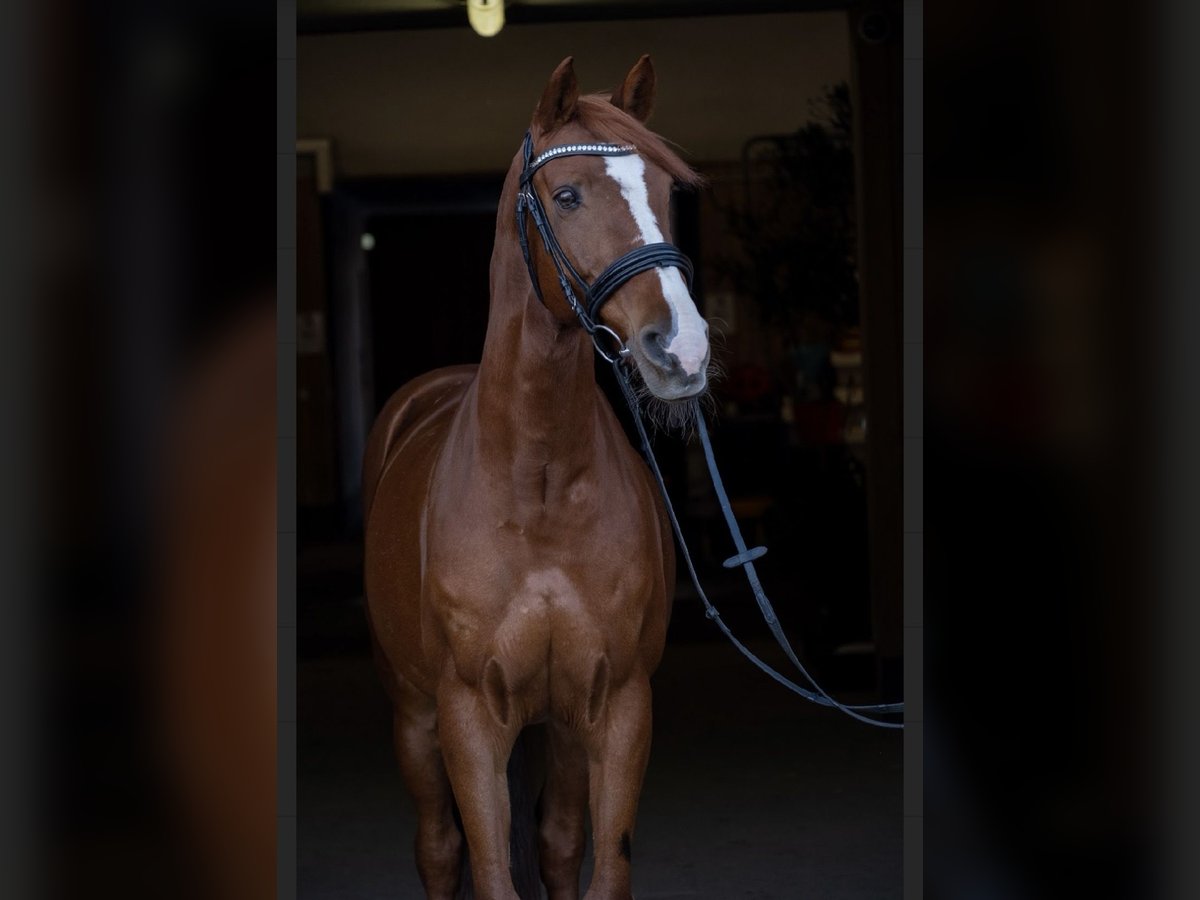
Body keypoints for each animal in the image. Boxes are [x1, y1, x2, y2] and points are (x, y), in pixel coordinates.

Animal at [362, 55, 710, 900]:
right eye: (568, 195)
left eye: (666, 188)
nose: (682, 349)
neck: (539, 486)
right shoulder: (468, 716)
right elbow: (489, 870)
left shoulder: (615, 706)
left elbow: (597, 865)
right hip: (413, 719)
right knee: (438, 848)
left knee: (554, 841)